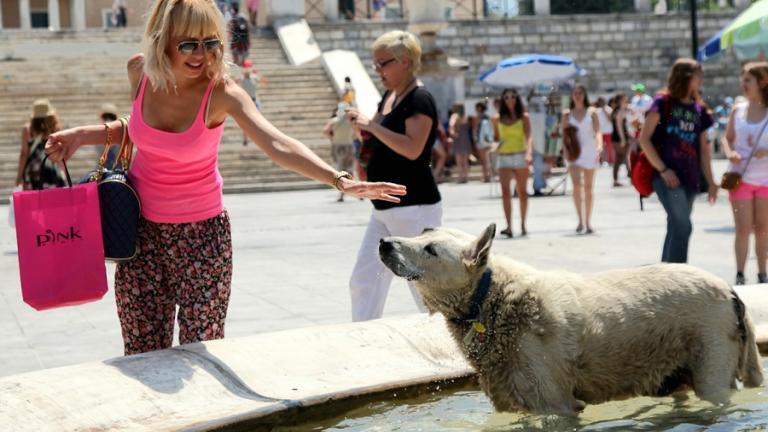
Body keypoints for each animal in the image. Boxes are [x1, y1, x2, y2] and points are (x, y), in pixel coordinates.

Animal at [378, 223, 760, 416]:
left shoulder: (555, 404)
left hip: (712, 373)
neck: (489, 299)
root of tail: (729, 290)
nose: (383, 243)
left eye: (431, 250)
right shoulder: (509, 401)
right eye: (421, 233)